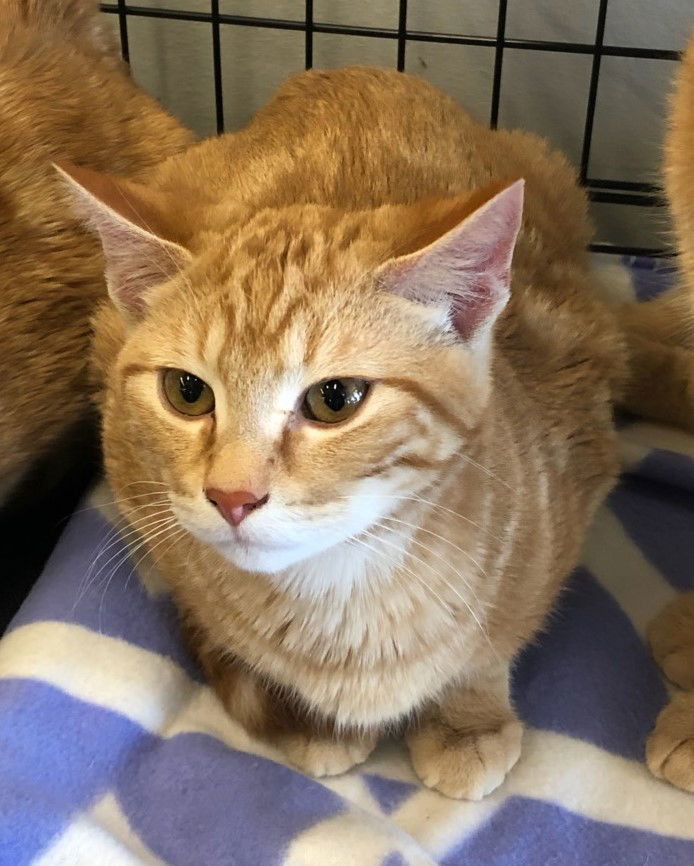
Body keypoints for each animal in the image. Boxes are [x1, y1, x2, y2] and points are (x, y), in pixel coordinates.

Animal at [58, 66, 624, 796]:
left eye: (335, 400)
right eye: (187, 392)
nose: (231, 498)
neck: (346, 589)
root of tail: (336, 71)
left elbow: (490, 645)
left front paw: (467, 721)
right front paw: (308, 721)